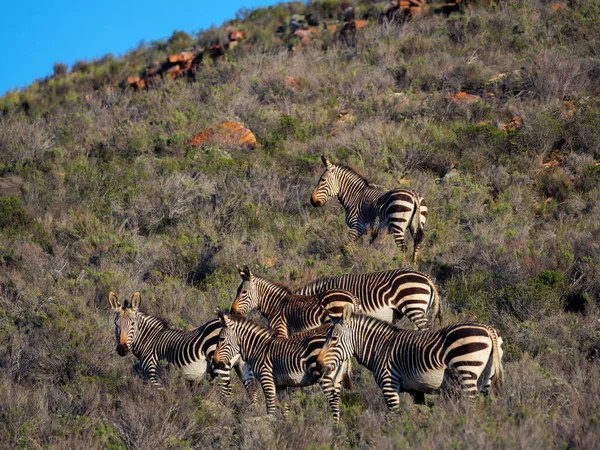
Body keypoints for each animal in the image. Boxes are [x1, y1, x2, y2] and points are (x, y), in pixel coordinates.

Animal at [109, 290, 254, 400]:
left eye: (132, 324)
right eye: (116, 324)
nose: (122, 349)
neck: (149, 340)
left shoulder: (154, 373)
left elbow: (163, 397)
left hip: (221, 363)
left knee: (226, 393)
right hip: (242, 365)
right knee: (252, 392)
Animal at [214, 312, 346, 424]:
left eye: (222, 339)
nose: (215, 361)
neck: (258, 349)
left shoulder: (267, 378)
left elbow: (270, 406)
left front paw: (270, 427)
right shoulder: (281, 385)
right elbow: (284, 407)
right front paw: (286, 426)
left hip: (325, 376)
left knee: (333, 401)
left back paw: (335, 427)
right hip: (335, 377)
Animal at [316, 304, 504, 414]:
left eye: (333, 339)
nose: (318, 364)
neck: (380, 347)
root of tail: (488, 329)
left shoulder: (389, 385)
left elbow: (393, 420)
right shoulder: (416, 390)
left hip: (466, 372)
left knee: (472, 405)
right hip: (487, 376)